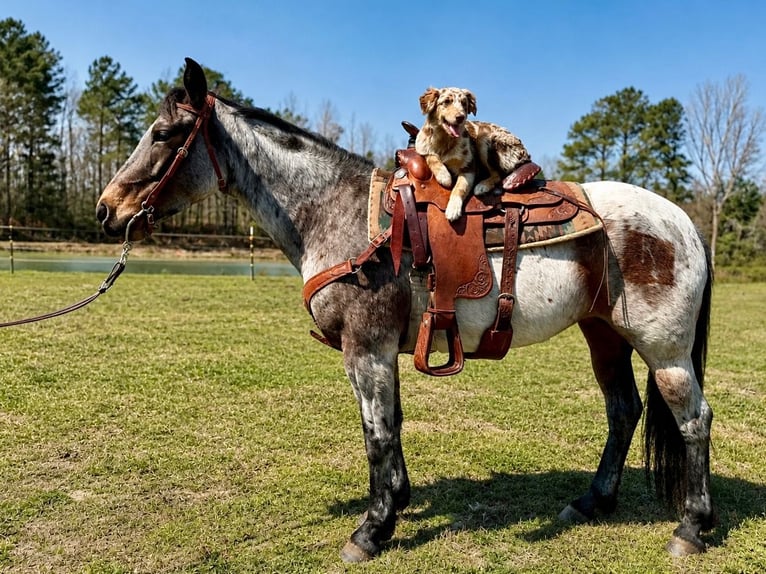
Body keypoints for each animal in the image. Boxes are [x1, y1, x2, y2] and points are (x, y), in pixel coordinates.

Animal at [96, 58, 714, 562]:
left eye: (164, 133)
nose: (107, 209)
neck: (339, 213)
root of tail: (682, 221)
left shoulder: (366, 350)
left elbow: (377, 432)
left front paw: (372, 529)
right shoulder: (377, 353)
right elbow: (390, 426)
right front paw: (397, 503)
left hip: (665, 350)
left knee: (694, 420)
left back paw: (691, 527)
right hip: (604, 335)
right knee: (623, 410)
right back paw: (592, 501)